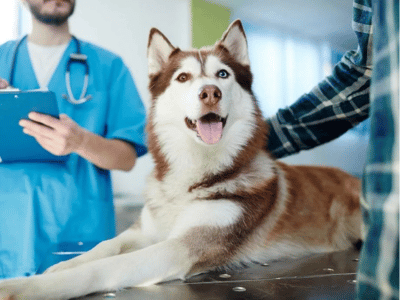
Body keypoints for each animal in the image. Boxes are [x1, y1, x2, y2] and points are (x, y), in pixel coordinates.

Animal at [0, 19, 360, 298]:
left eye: (223, 75)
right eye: (183, 78)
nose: (210, 92)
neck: (191, 176)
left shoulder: (184, 246)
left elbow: (107, 266)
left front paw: (26, 286)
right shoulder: (143, 232)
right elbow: (103, 248)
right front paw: (58, 265)